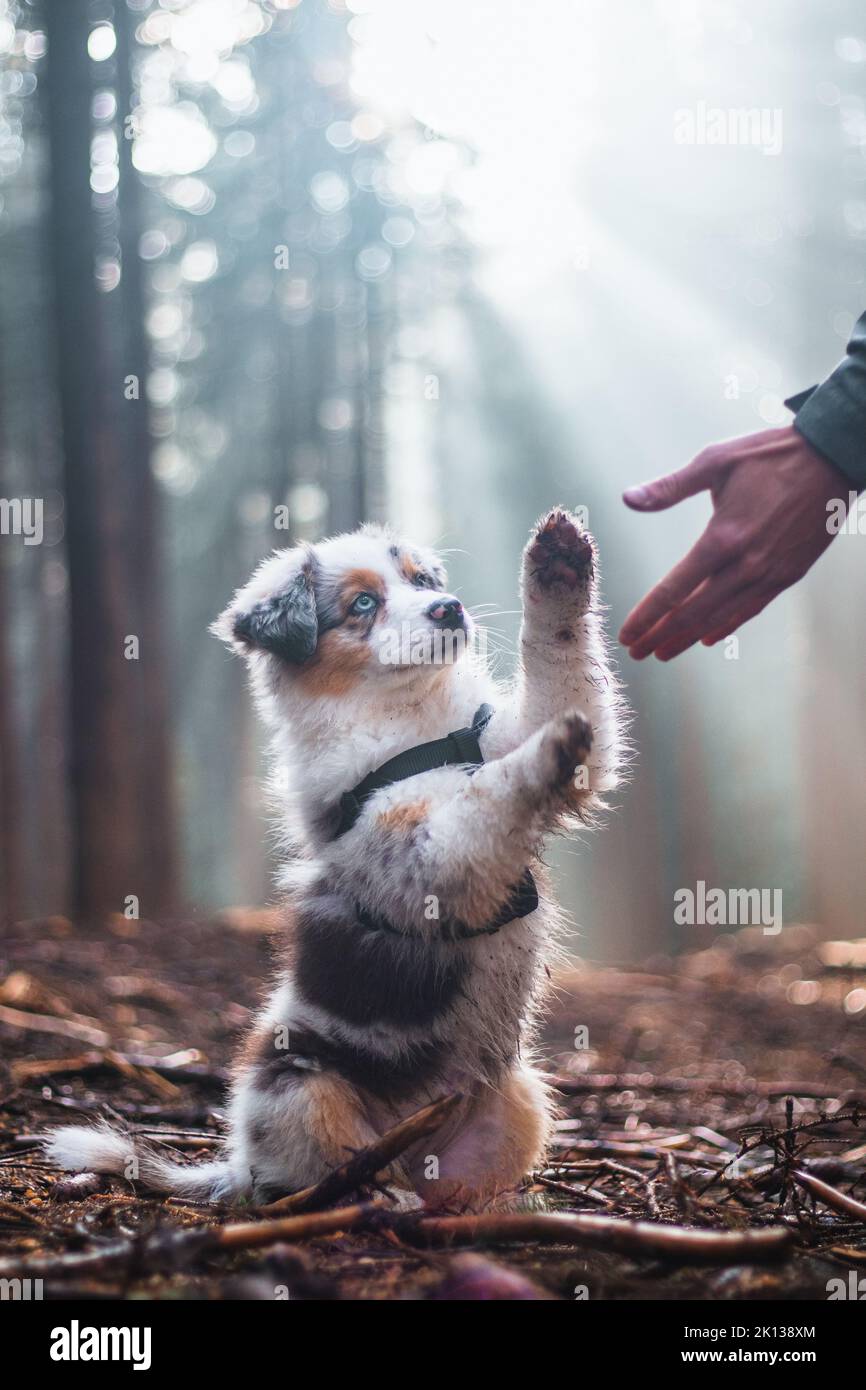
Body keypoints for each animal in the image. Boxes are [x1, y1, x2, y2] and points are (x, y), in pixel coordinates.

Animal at [45, 508, 622, 1206]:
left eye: (422, 579)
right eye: (363, 605)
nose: (449, 608)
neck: (412, 722)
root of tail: (237, 1163)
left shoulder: (507, 734)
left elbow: (563, 673)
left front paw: (559, 563)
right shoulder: (422, 857)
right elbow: (483, 792)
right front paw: (544, 751)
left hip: (520, 1097)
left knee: (450, 1187)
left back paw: (496, 1204)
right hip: (299, 1087)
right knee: (323, 1173)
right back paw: (374, 1197)